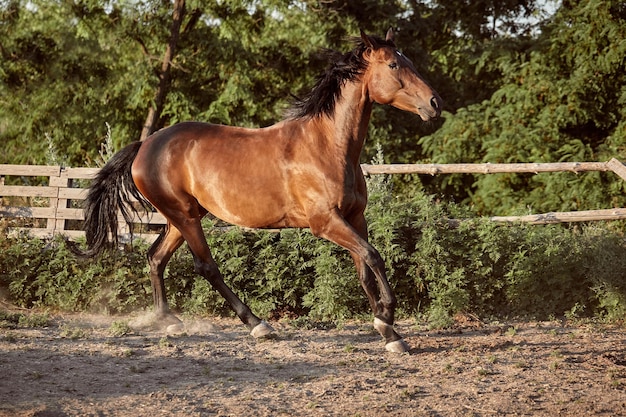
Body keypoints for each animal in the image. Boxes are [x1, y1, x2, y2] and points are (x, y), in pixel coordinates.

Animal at [80, 29, 442, 352]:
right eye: (393, 65)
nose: (435, 102)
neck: (327, 145)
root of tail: (146, 145)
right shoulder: (325, 222)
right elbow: (373, 255)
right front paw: (387, 321)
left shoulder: (355, 218)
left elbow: (365, 267)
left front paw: (388, 331)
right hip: (184, 216)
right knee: (206, 266)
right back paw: (257, 324)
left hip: (182, 218)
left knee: (156, 257)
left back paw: (169, 320)